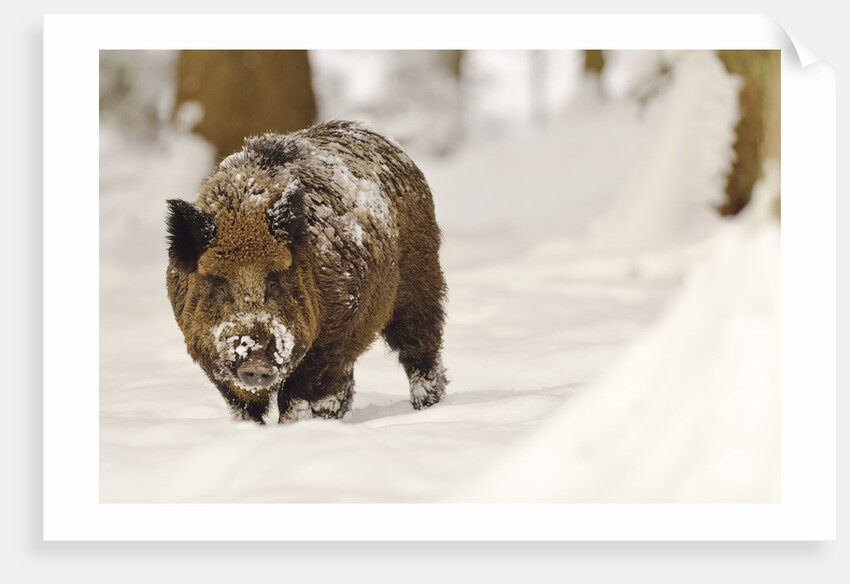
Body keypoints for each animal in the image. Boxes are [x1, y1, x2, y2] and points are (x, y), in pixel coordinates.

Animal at [165, 120, 447, 423]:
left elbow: (296, 397)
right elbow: (243, 407)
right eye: (218, 282)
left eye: (275, 279)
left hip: (420, 281)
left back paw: (428, 407)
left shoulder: (332, 333)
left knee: (420, 350)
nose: (256, 362)